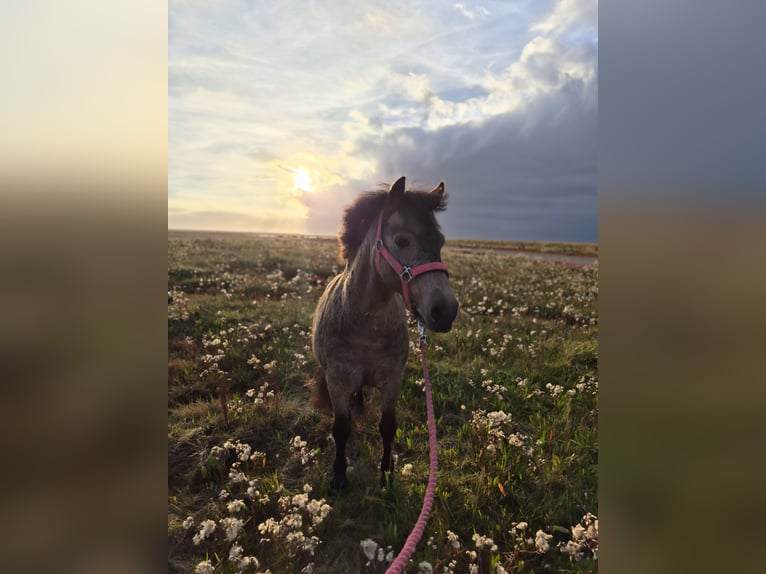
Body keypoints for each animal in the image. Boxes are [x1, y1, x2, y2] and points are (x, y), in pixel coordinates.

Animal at [311, 176, 459, 491]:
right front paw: (339, 476)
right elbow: (341, 428)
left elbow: (387, 426)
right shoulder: (337, 382)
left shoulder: (392, 380)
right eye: (402, 240)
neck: (364, 326)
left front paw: (387, 473)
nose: (446, 310)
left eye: (440, 242)